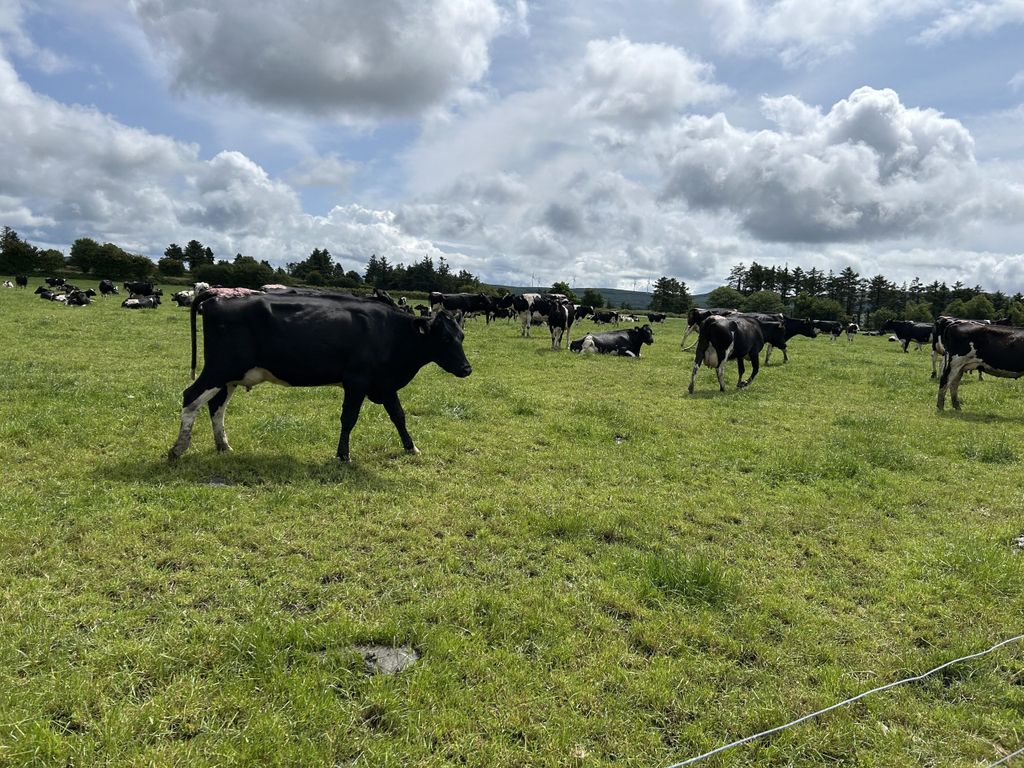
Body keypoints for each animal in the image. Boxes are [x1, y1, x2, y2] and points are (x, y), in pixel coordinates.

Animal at [168, 292, 472, 463]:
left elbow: (398, 416)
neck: (391, 332)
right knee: (190, 397)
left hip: (229, 375)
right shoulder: (356, 381)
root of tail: (215, 298)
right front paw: (343, 455)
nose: (467, 369)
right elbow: (349, 418)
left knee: (215, 406)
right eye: (444, 339)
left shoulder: (384, 384)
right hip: (218, 369)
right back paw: (178, 449)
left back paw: (223, 445)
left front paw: (411, 448)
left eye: (461, 336)